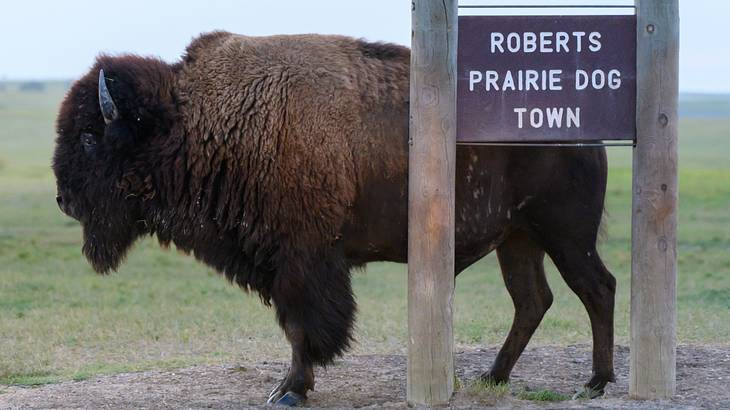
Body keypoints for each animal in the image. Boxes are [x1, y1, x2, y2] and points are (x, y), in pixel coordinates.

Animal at [49, 30, 616, 406]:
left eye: (89, 137)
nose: (62, 200)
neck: (200, 119)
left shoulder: (302, 262)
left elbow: (303, 327)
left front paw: (289, 391)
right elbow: (297, 325)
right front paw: (289, 388)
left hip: (565, 234)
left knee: (596, 288)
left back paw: (596, 382)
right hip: (518, 239)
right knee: (533, 300)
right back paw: (493, 378)